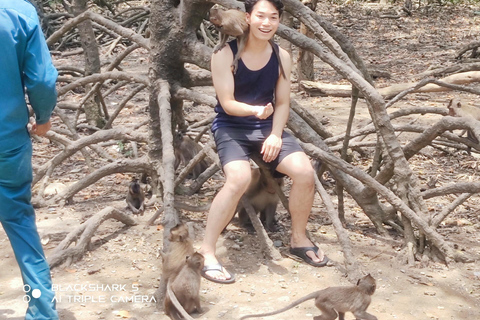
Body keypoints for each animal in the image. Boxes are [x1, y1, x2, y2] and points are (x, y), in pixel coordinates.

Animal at [240, 272, 378, 320]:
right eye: (374, 286)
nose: (375, 290)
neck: (360, 288)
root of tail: (322, 292)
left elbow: (344, 312)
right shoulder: (367, 299)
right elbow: (358, 313)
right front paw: (374, 318)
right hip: (321, 303)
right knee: (331, 316)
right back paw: (317, 318)